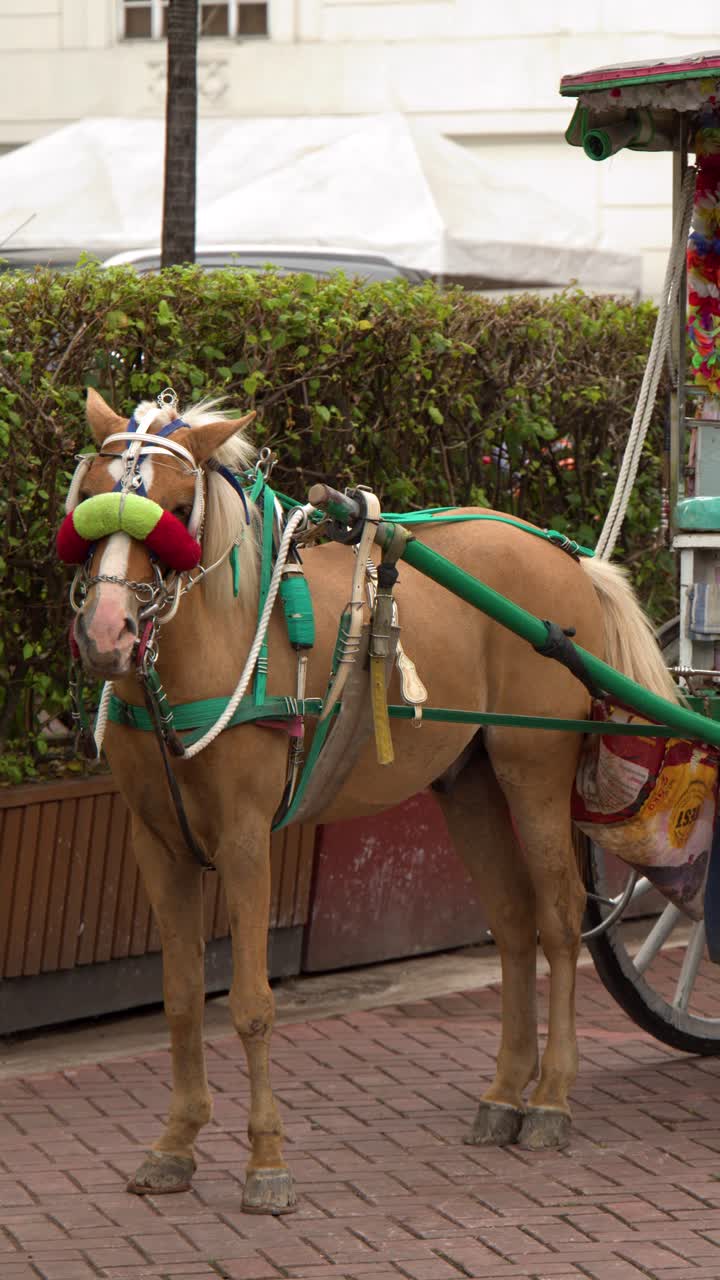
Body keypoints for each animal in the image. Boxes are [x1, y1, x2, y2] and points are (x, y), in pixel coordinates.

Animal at [65, 387, 677, 1214]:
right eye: (91, 499)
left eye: (178, 508)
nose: (107, 634)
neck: (221, 641)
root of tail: (564, 554)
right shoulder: (157, 843)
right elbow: (183, 997)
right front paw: (175, 1144)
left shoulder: (246, 838)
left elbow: (251, 1004)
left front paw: (266, 1165)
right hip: (470, 780)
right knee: (513, 923)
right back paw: (504, 1095)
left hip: (534, 769)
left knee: (556, 921)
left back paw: (551, 1098)